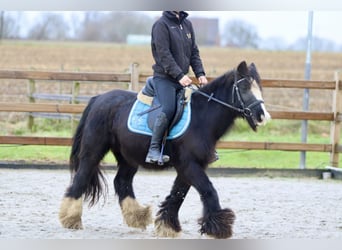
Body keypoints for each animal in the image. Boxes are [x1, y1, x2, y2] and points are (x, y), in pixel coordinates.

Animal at [60, 60, 272, 238]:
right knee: (82, 177)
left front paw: (167, 226)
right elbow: (208, 190)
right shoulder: (189, 165)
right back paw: (70, 218)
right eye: (244, 88)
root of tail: (98, 99)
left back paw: (137, 216)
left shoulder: (190, 166)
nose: (262, 116)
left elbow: (178, 195)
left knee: (122, 182)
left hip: (128, 158)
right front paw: (219, 227)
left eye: (259, 88)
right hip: (93, 151)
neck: (201, 118)